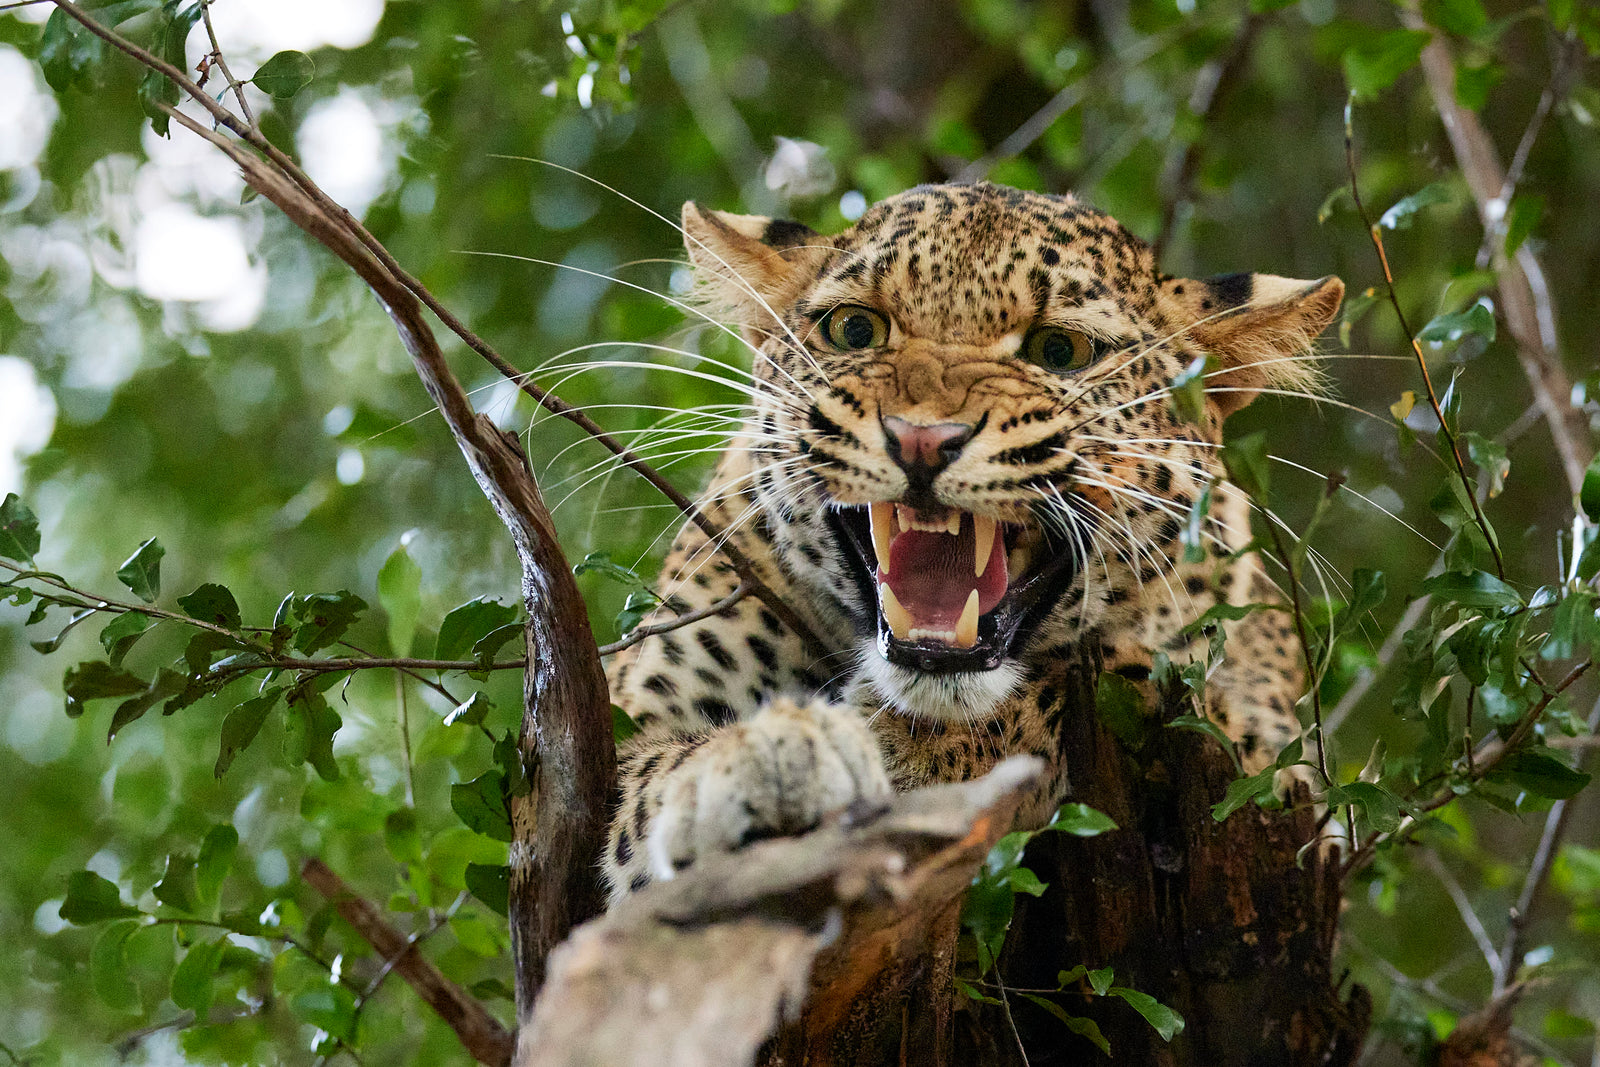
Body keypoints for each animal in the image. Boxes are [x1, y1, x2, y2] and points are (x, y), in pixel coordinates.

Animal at [600, 181, 1343, 901]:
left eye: (1059, 351)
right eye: (854, 329)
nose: (921, 439)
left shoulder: (1281, 758)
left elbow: (1137, 682)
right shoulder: (625, 727)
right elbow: (645, 777)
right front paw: (757, 766)